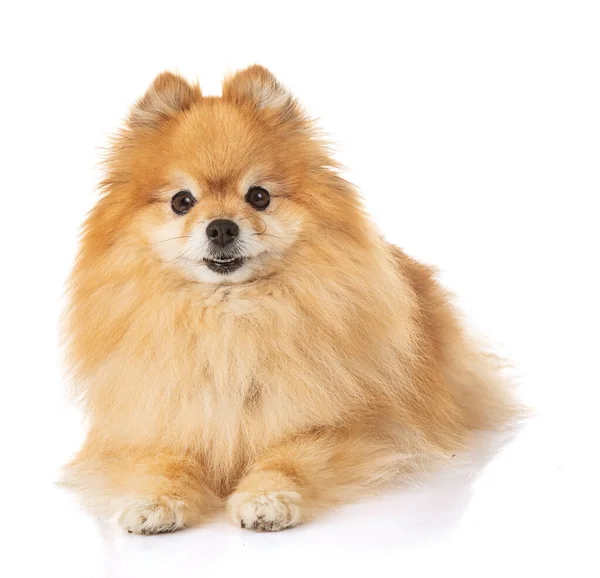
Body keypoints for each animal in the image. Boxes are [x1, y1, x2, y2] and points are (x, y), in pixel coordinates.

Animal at [62, 65, 520, 532]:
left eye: (259, 196)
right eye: (182, 201)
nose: (221, 227)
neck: (230, 319)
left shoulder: (348, 429)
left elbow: (289, 457)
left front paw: (267, 498)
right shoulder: (152, 424)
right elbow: (160, 462)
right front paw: (155, 501)